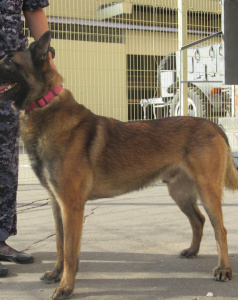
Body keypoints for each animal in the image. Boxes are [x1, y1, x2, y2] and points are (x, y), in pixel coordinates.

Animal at [0, 30, 238, 298]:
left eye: (9, 61)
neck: (45, 105)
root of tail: (213, 125)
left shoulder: (71, 206)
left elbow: (70, 252)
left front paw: (66, 286)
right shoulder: (56, 204)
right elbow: (60, 245)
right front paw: (55, 274)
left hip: (207, 191)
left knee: (220, 229)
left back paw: (223, 269)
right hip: (180, 193)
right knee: (198, 220)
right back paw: (192, 250)